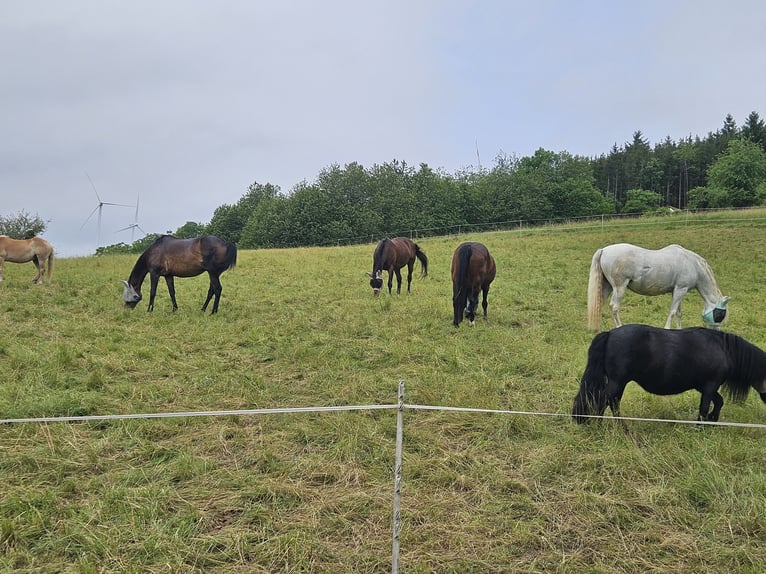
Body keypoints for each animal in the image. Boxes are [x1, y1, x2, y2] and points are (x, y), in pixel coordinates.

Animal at [572, 326, 766, 426]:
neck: (723, 349)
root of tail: (610, 333)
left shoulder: (705, 387)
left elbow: (719, 402)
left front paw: (712, 420)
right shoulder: (710, 386)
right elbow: (704, 407)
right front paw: (700, 427)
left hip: (617, 383)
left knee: (612, 402)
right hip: (617, 382)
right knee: (603, 400)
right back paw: (601, 425)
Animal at [588, 244, 732, 332]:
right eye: (720, 314)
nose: (715, 331)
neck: (693, 264)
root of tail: (604, 250)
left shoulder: (678, 290)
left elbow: (678, 313)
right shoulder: (680, 290)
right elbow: (672, 311)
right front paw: (667, 328)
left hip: (607, 286)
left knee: (599, 303)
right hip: (619, 287)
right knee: (614, 306)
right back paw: (619, 327)